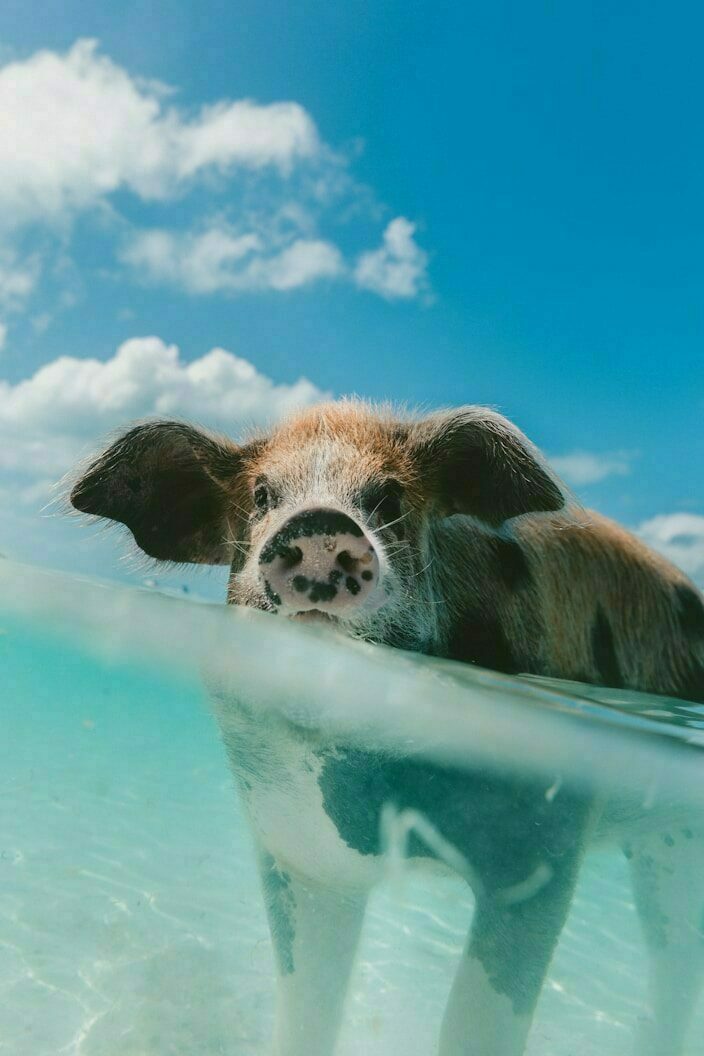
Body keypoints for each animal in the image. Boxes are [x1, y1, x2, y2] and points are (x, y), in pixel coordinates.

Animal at [68, 401, 700, 1056]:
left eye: (389, 498)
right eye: (264, 495)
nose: (320, 523)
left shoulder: (546, 838)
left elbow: (477, 1019)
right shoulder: (297, 848)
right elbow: (305, 1004)